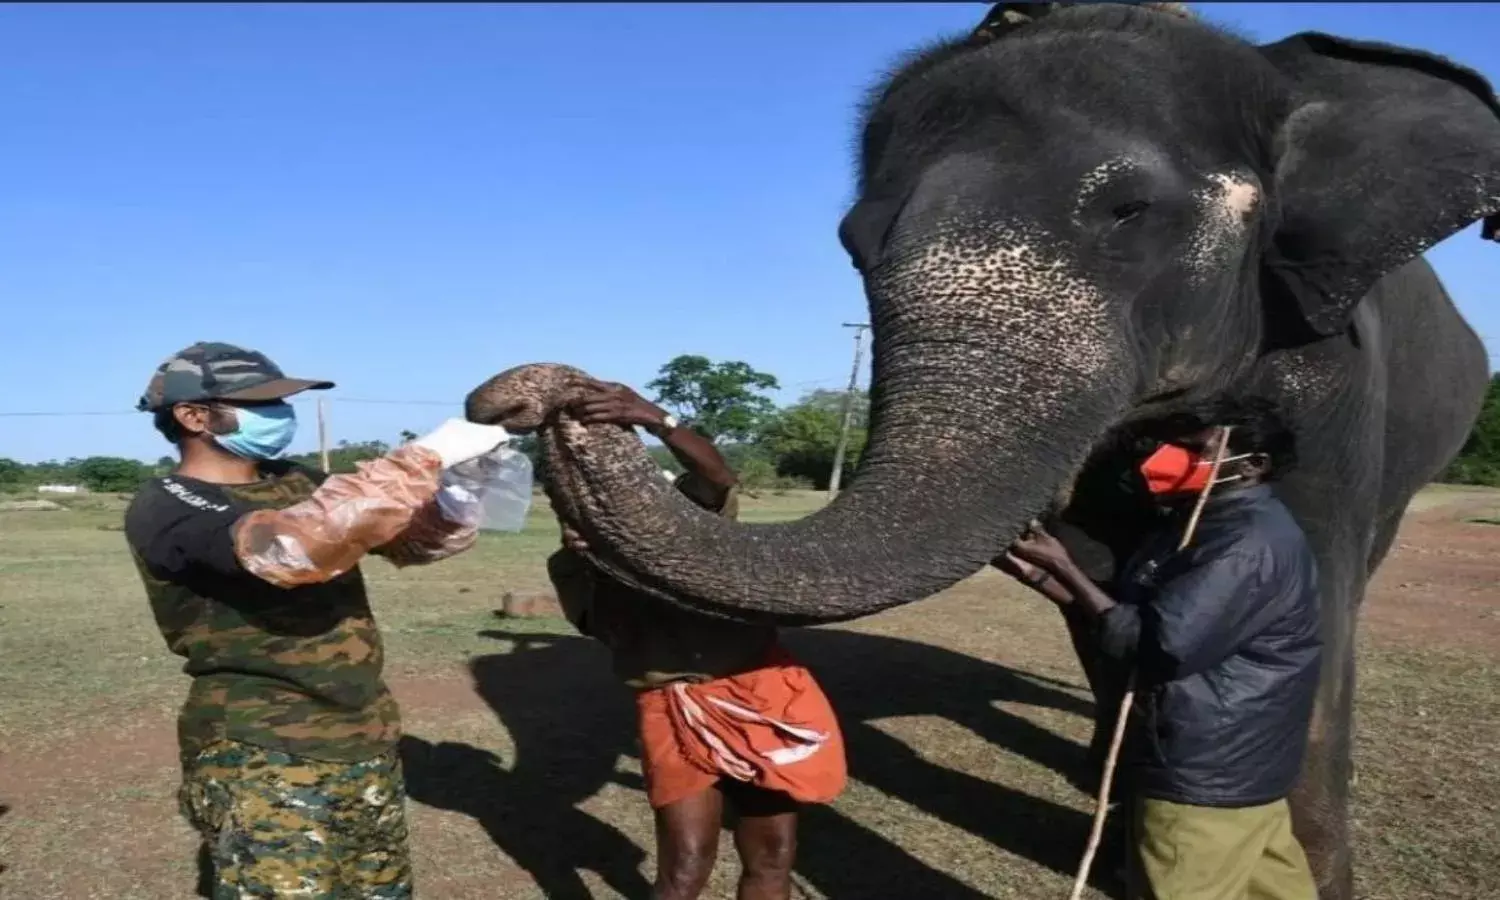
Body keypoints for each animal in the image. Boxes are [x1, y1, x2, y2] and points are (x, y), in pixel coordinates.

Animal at [466, 5, 1497, 898]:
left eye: (1129, 209)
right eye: (852, 241)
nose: (528, 393)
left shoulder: (1335, 360)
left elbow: (1309, 577)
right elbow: (1112, 582)